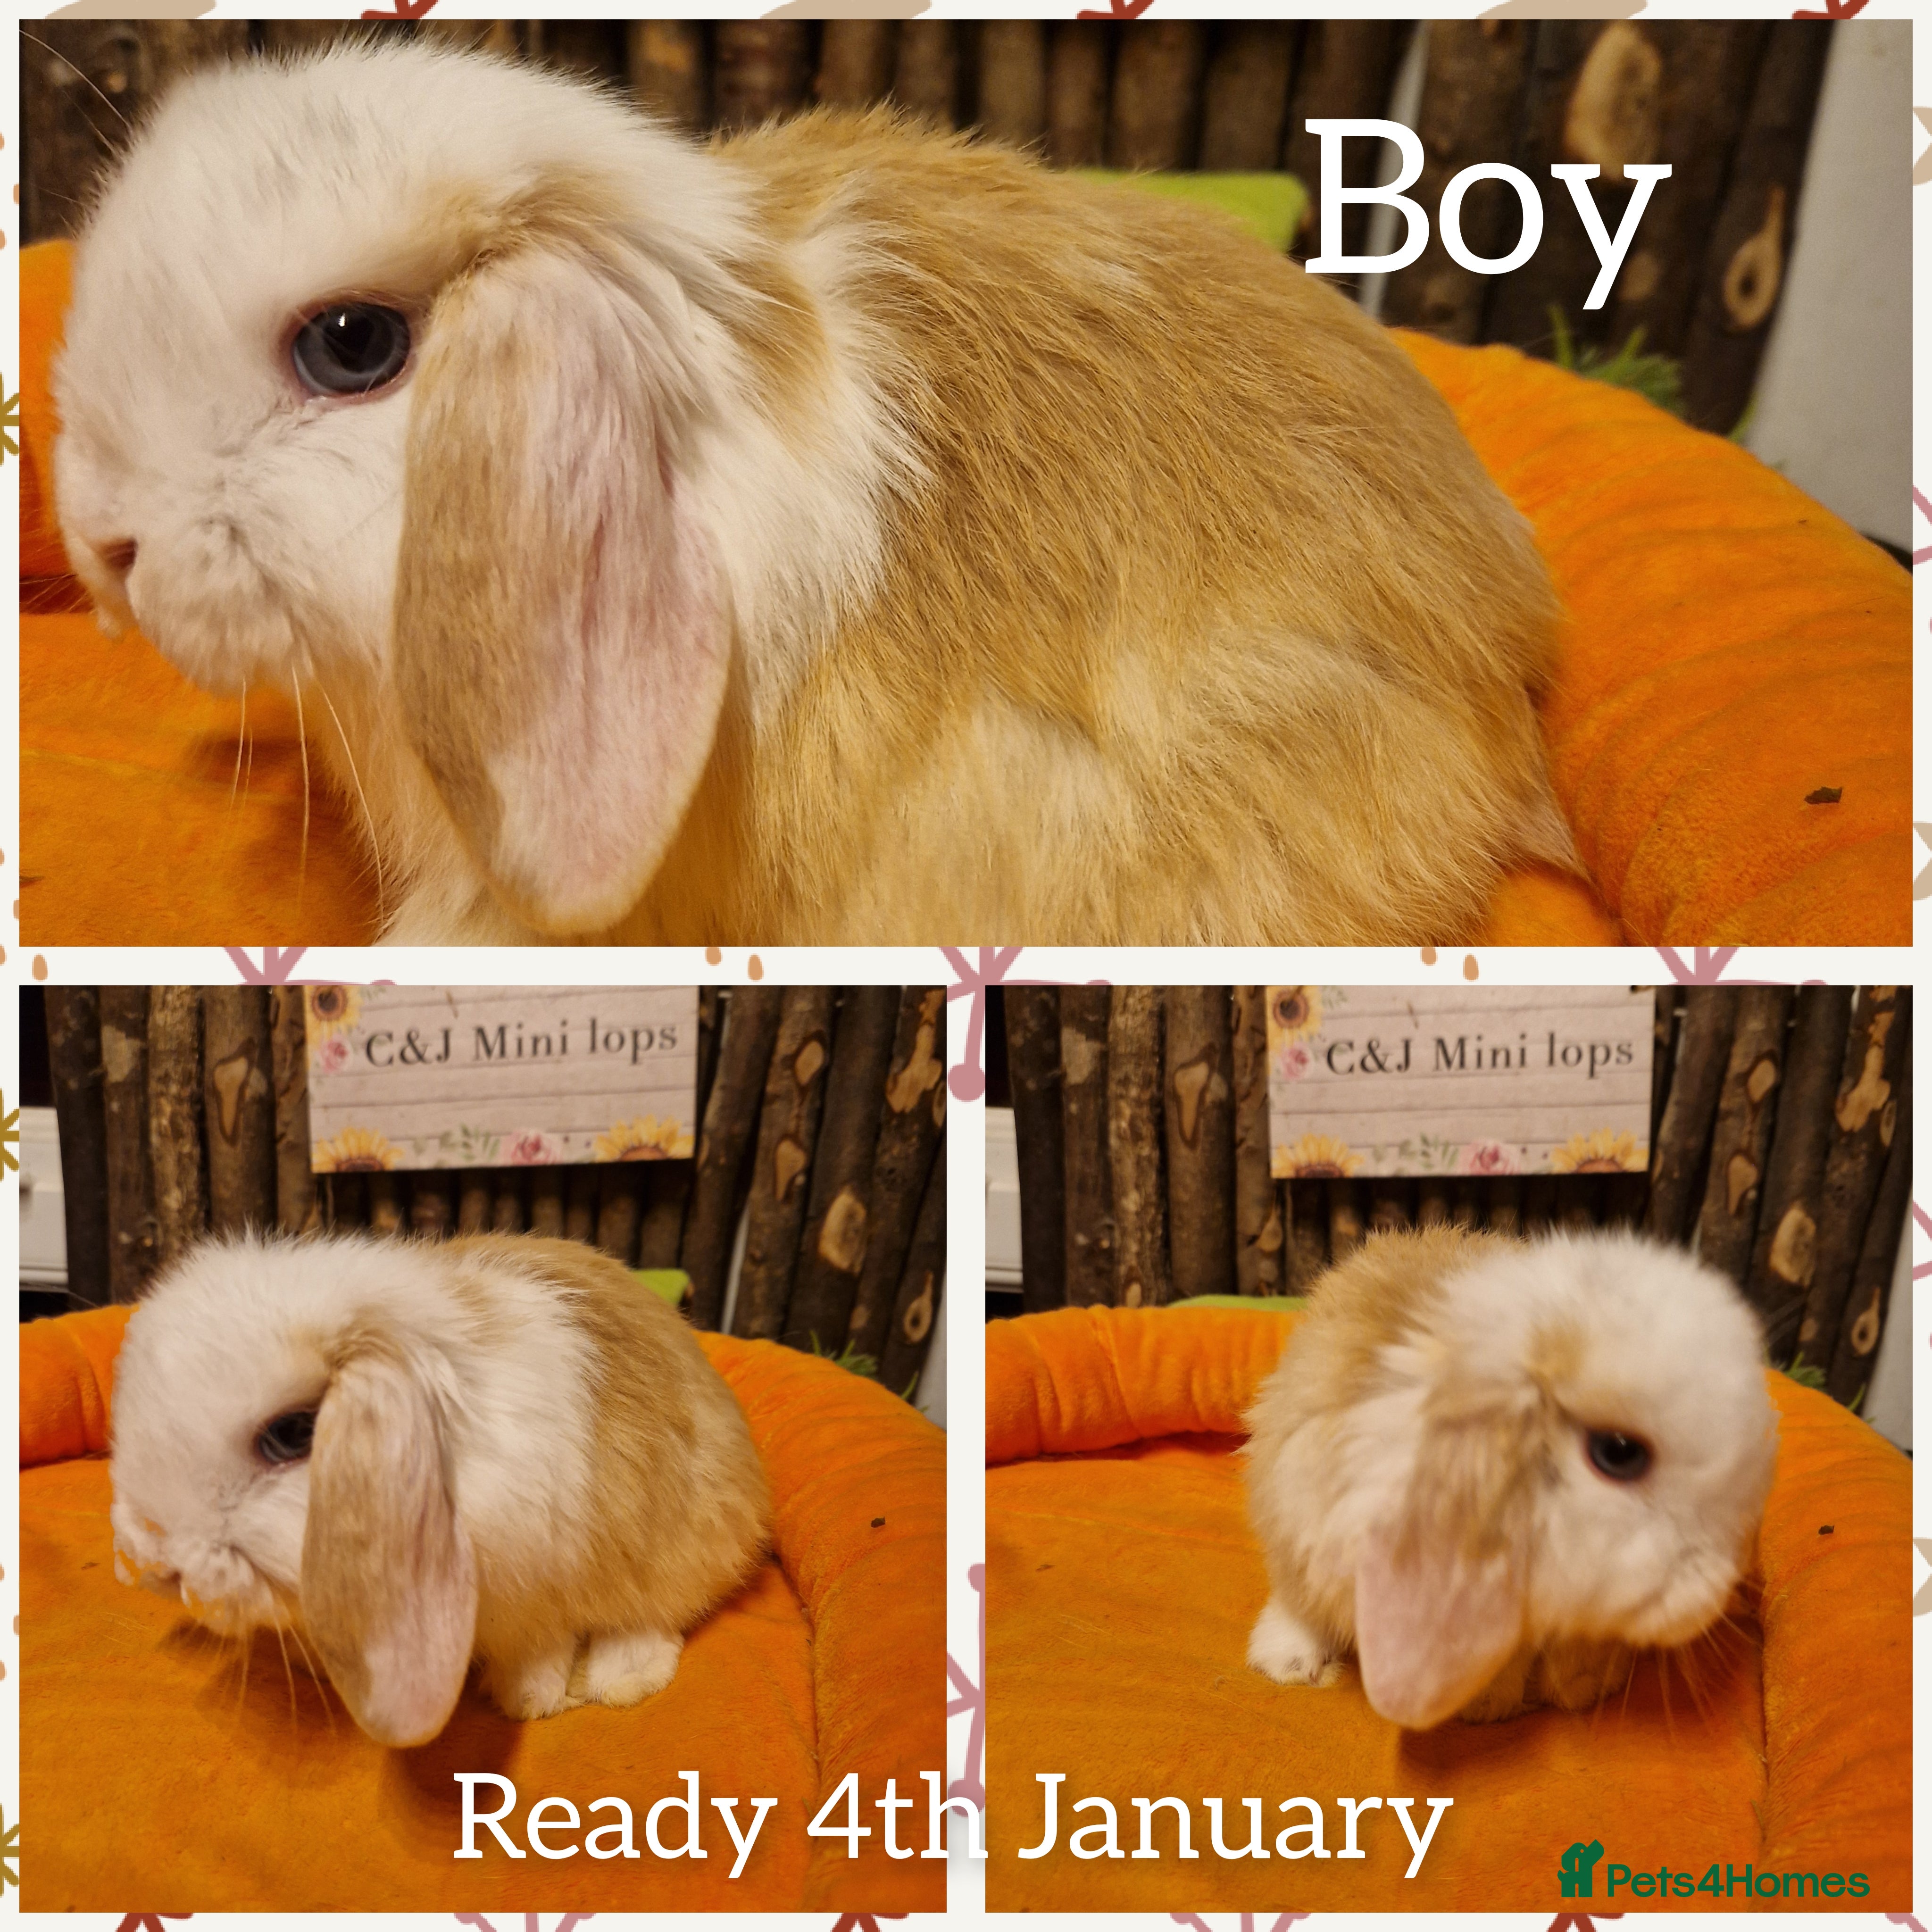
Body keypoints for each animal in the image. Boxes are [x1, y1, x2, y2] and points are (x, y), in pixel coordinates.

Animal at [107, 1230, 770, 1747]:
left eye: (292, 1433)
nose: (158, 1562)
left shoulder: (536, 1589)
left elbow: (539, 1646)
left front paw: (530, 1700)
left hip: (691, 1542)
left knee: (658, 1611)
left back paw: (619, 1681)